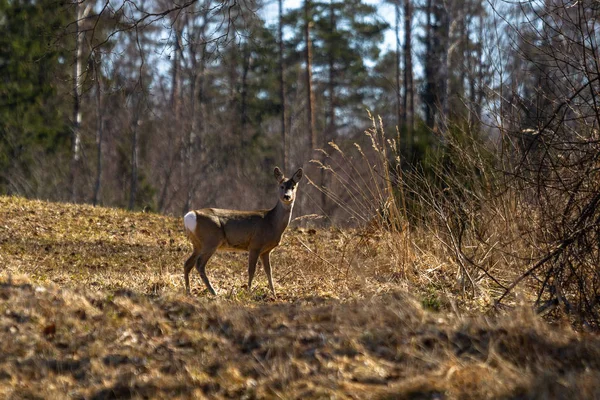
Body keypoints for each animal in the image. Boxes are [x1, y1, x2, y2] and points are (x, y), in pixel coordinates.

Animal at [182, 166, 304, 296]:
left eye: (293, 187)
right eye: (281, 186)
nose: (287, 196)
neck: (271, 223)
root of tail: (190, 215)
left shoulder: (266, 251)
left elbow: (269, 271)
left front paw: (274, 294)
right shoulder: (255, 244)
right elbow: (251, 270)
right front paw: (249, 291)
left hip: (198, 244)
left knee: (187, 264)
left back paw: (189, 291)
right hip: (211, 240)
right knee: (199, 264)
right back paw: (213, 292)